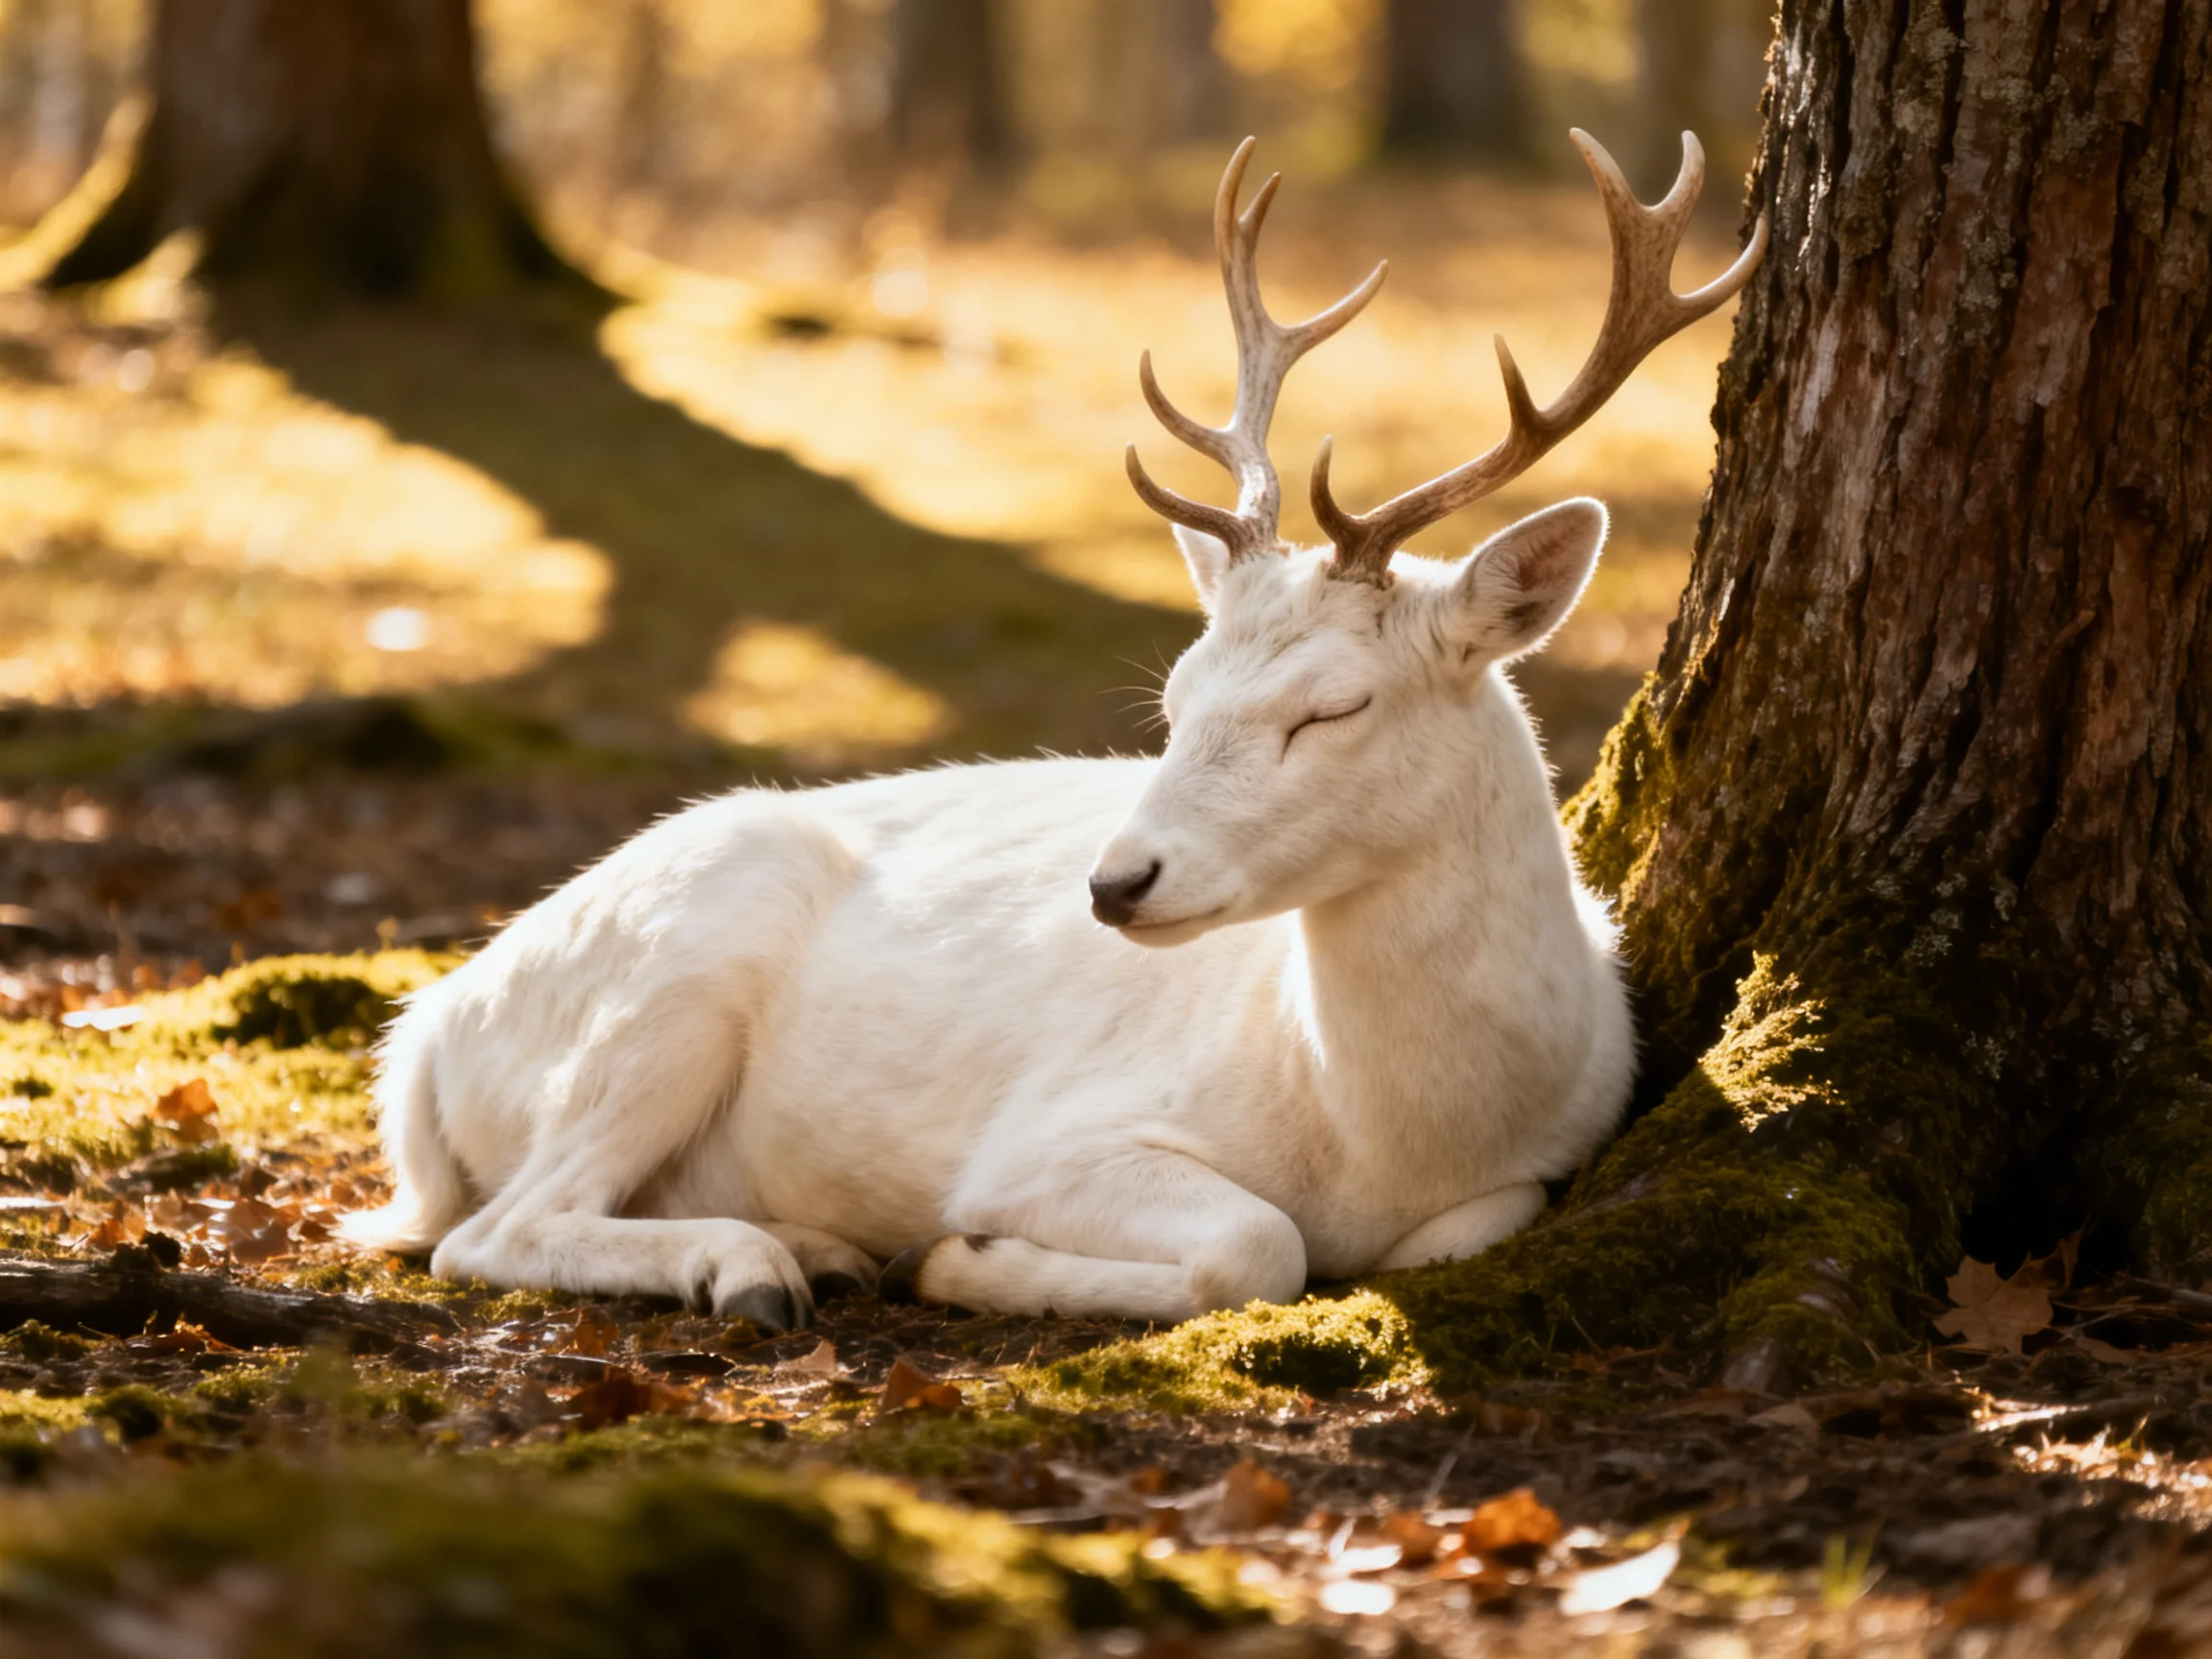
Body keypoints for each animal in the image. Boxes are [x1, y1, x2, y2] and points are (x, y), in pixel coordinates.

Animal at [340, 131, 1767, 1334]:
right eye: (1175, 696)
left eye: (1332, 705)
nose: (1116, 882)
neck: (1389, 1134)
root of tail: (428, 1033)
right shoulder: (1050, 1133)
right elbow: (1259, 1245)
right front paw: (960, 1257)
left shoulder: (1547, 1158)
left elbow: (1460, 1231)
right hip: (668, 970)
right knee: (493, 1229)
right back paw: (757, 1266)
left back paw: (816, 1246)